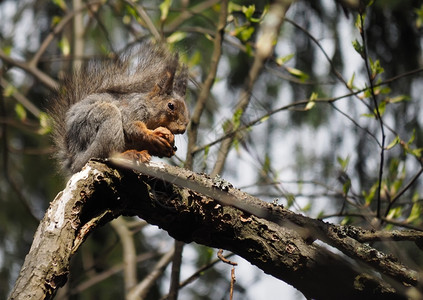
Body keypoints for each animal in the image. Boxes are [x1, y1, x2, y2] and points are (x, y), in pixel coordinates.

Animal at [48, 42, 190, 173]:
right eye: (171, 106)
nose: (183, 129)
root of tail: (74, 159)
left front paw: (168, 137)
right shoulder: (132, 110)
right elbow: (132, 126)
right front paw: (152, 134)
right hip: (101, 123)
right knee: (107, 154)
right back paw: (131, 154)